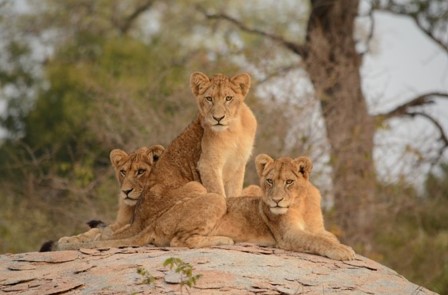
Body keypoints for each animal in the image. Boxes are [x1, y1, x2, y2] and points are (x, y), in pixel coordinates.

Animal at [49, 73, 256, 251]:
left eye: (228, 98)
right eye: (209, 99)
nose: (218, 118)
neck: (233, 129)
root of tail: (141, 218)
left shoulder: (239, 166)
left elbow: (234, 192)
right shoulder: (208, 164)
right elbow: (219, 192)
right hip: (195, 186)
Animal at [211, 155, 356, 262]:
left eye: (289, 182)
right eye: (270, 181)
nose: (276, 200)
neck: (301, 205)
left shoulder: (318, 229)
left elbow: (330, 238)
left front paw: (343, 246)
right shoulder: (287, 234)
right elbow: (316, 240)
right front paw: (342, 250)